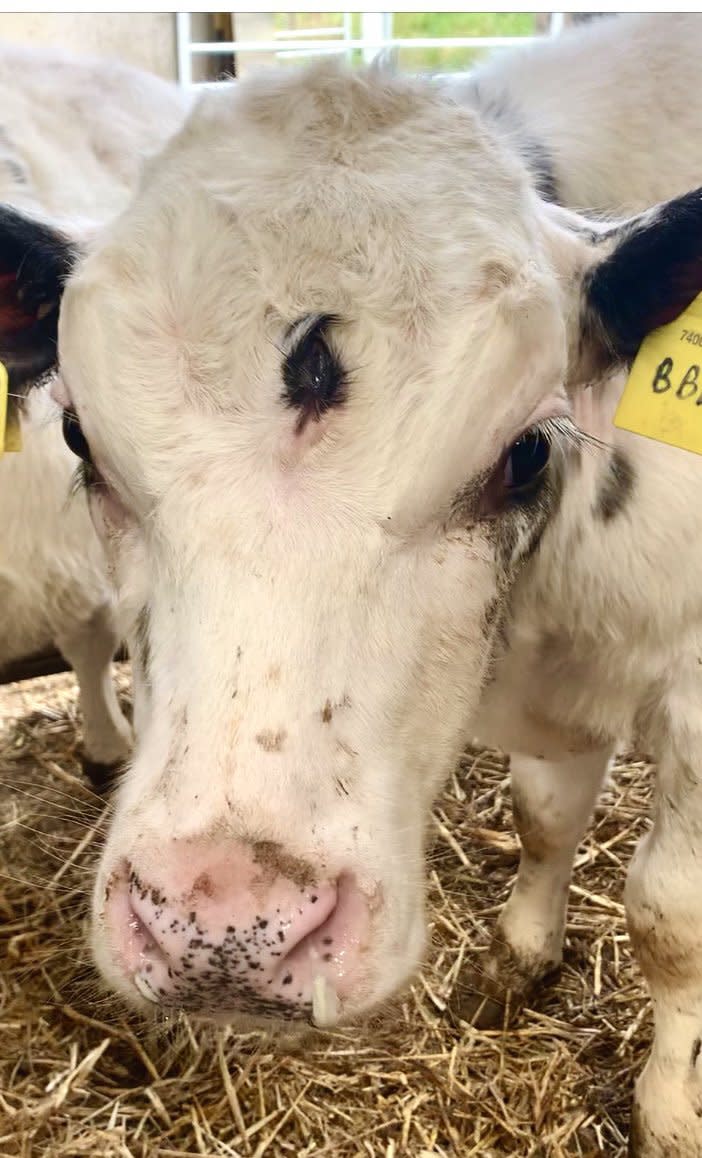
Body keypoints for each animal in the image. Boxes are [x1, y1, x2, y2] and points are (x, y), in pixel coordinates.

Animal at [1, 13, 702, 1153]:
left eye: (525, 454)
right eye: (77, 439)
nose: (225, 930)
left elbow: (669, 916)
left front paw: (670, 1108)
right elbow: (546, 815)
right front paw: (521, 954)